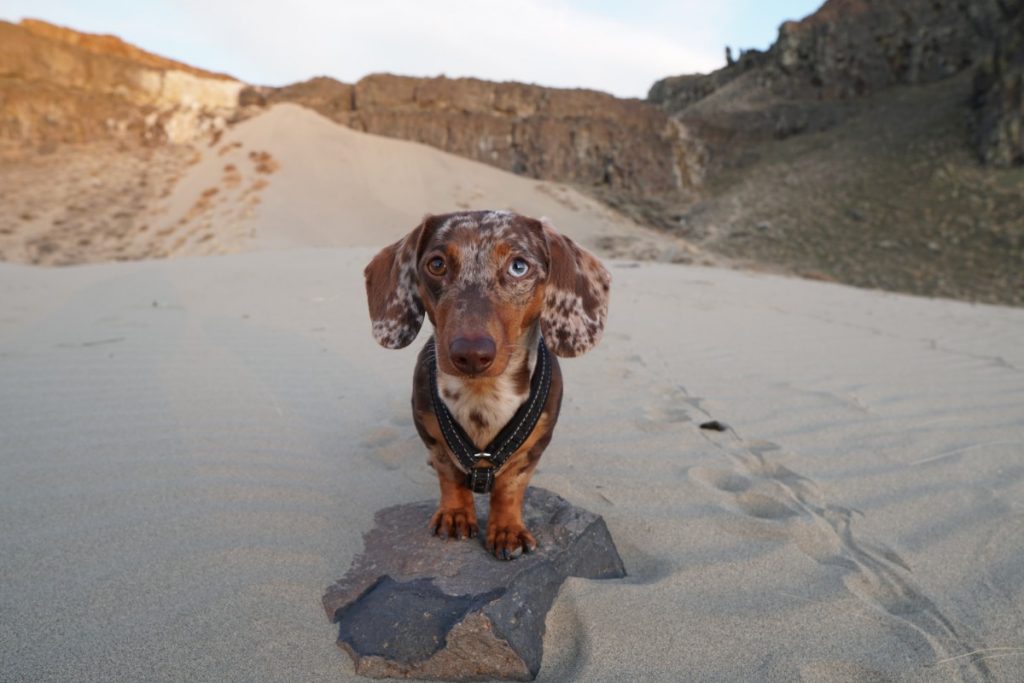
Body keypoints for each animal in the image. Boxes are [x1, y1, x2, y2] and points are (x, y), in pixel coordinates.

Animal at [366, 209, 610, 561]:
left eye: (518, 266)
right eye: (436, 264)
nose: (470, 354)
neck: (482, 397)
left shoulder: (534, 447)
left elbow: (509, 488)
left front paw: (507, 530)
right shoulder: (430, 433)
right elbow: (449, 476)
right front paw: (455, 514)